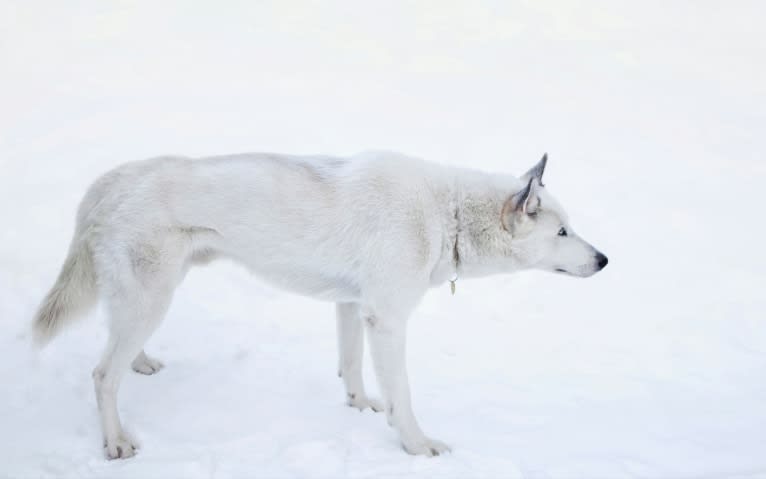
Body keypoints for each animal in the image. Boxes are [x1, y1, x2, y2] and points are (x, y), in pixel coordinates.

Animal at [31, 152, 608, 460]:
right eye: (562, 232)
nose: (604, 260)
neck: (447, 216)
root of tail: (109, 182)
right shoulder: (387, 321)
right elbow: (403, 397)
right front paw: (417, 448)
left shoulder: (352, 306)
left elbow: (351, 367)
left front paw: (359, 405)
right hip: (152, 297)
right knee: (101, 375)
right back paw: (116, 444)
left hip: (151, 295)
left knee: (118, 347)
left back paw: (142, 361)